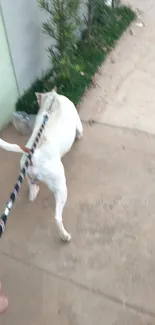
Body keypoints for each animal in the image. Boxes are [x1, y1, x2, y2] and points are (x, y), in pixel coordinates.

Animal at [0, 88, 83, 240]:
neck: (52, 101)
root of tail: (34, 154)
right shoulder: (78, 122)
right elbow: (80, 132)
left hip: (27, 173)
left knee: (32, 190)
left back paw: (34, 191)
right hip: (60, 187)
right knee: (57, 217)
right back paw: (65, 236)